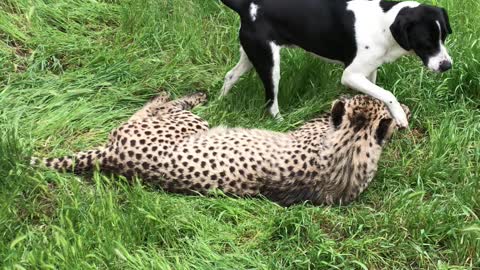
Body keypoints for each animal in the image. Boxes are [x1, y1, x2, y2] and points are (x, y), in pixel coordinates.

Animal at [219, 0, 452, 127]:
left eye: (445, 37)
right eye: (426, 42)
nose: (447, 66)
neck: (385, 24)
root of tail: (247, 7)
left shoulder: (369, 72)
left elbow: (376, 94)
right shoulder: (351, 75)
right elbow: (388, 94)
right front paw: (400, 116)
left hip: (253, 56)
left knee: (230, 76)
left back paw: (219, 101)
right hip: (270, 65)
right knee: (270, 102)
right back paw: (282, 124)